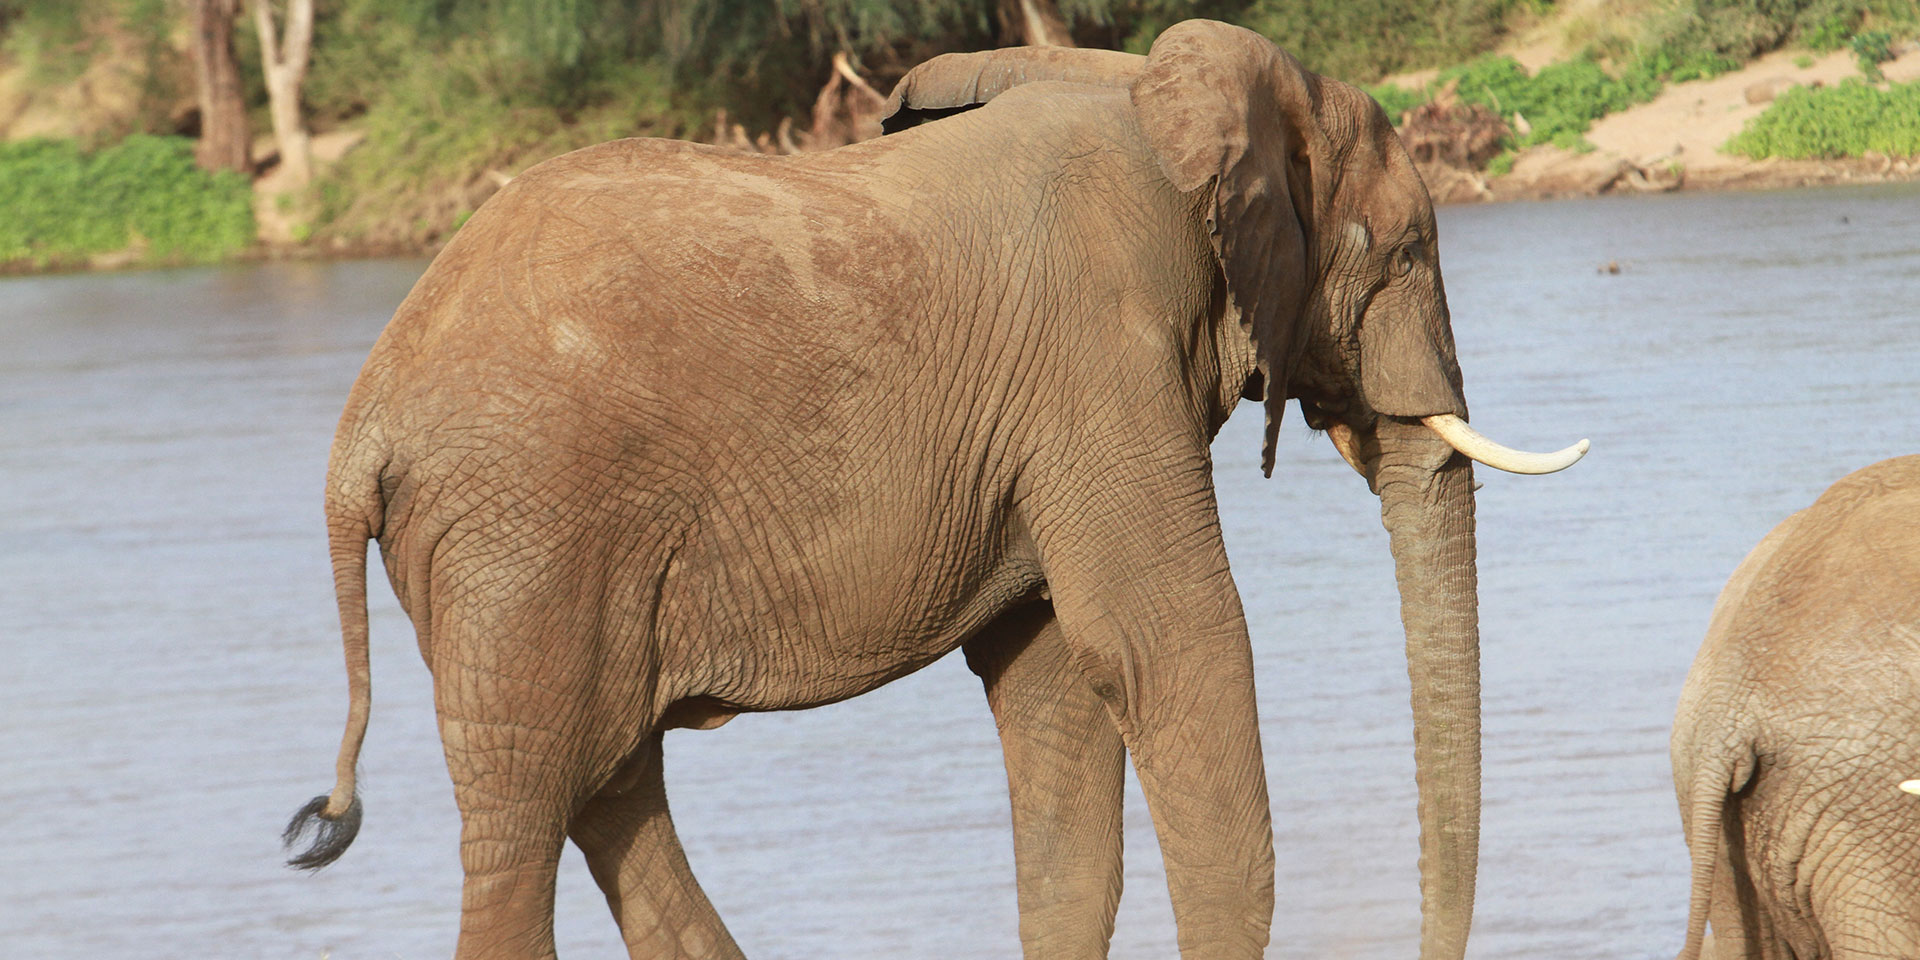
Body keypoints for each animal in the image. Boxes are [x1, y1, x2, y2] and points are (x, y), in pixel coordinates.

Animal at [278, 16, 1582, 960]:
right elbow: (1170, 645)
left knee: (607, 784)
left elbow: (1053, 685)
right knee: (526, 817)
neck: (1157, 84)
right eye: (1406, 252)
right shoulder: (1094, 358)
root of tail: (359, 428)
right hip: (522, 534)